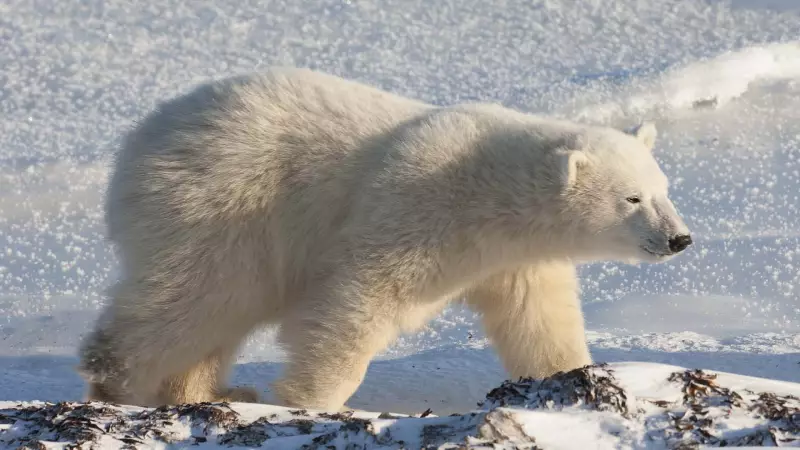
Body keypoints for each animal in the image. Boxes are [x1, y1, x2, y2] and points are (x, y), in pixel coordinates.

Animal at [77, 67, 692, 412]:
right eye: (632, 199)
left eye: (664, 189)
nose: (680, 239)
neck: (488, 191)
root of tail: (139, 140)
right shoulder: (415, 206)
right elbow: (359, 299)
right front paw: (312, 401)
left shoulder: (513, 259)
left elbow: (538, 319)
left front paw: (573, 378)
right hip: (223, 203)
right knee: (198, 295)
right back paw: (118, 381)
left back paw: (209, 393)